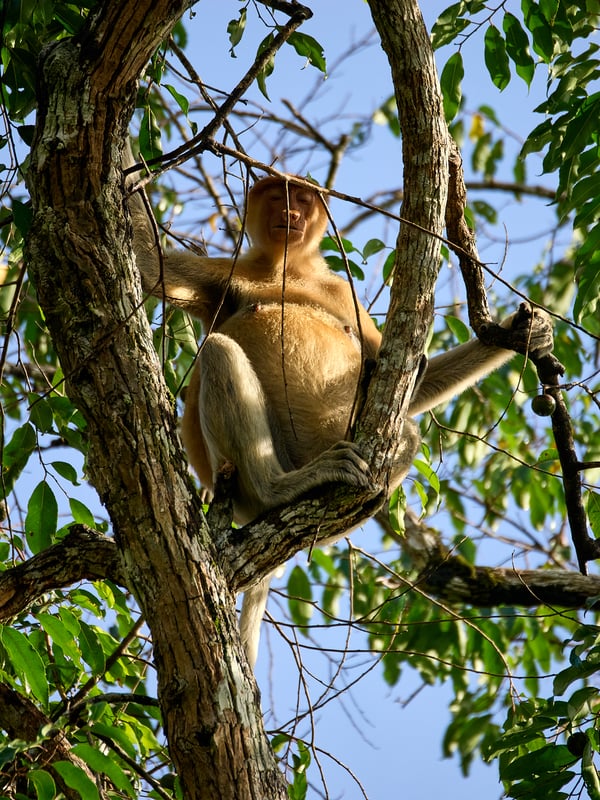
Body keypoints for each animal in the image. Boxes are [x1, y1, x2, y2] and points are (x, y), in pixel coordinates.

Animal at [125, 154, 553, 666]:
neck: (287, 268)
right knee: (217, 352)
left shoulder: (339, 290)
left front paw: (522, 333)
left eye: (302, 199)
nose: (290, 212)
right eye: (277, 194)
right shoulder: (222, 274)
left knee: (406, 434)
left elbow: (400, 371)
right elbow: (148, 264)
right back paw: (280, 489)